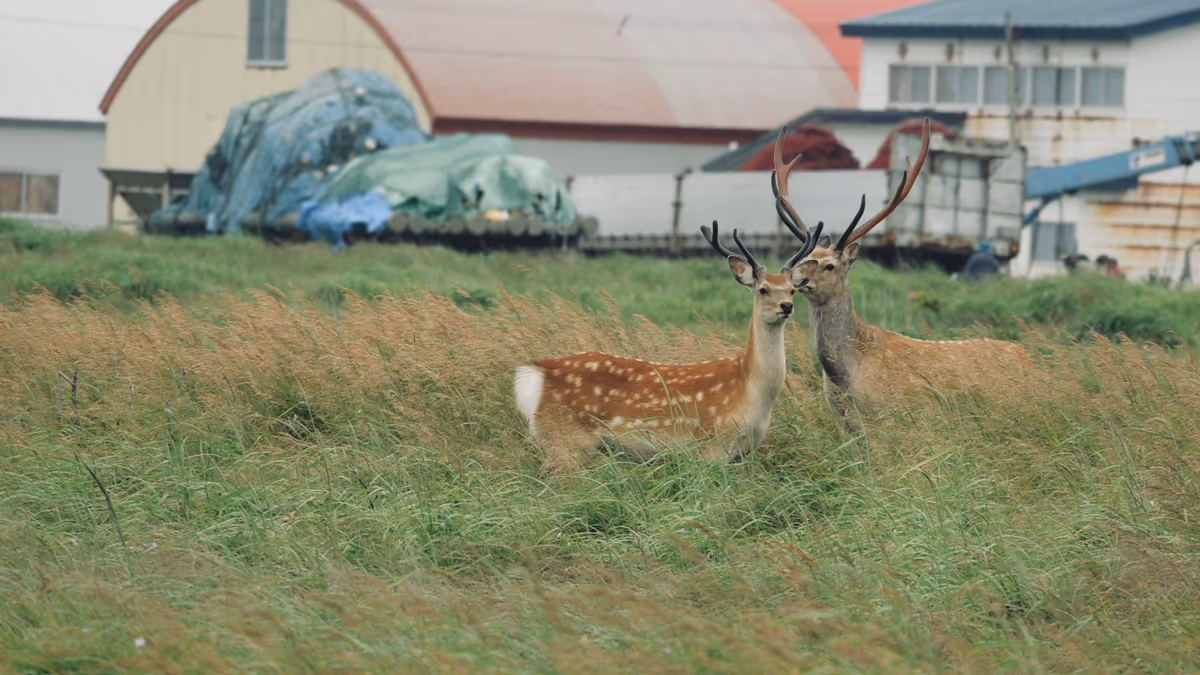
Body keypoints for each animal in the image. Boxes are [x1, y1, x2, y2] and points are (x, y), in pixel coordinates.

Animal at [513, 220, 824, 476]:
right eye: (763, 289)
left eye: (792, 289)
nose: (786, 306)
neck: (751, 393)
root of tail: (535, 373)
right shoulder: (713, 444)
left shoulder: (745, 452)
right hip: (565, 440)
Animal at [769, 117, 1034, 432]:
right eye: (804, 258)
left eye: (829, 265)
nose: (797, 279)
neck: (845, 377)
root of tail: (1029, 359)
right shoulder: (846, 423)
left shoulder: (899, 412)